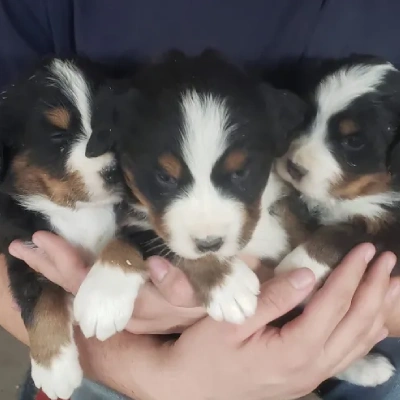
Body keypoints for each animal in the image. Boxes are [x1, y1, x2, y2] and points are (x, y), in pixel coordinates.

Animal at [0, 57, 130, 398]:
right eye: (57, 137)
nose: (115, 170)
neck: (80, 211)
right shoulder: (23, 248)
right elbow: (40, 302)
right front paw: (54, 367)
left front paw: (106, 297)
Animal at [276, 54, 400, 388]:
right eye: (306, 116)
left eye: (353, 141)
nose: (293, 167)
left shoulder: (387, 233)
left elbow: (334, 235)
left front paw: (294, 270)